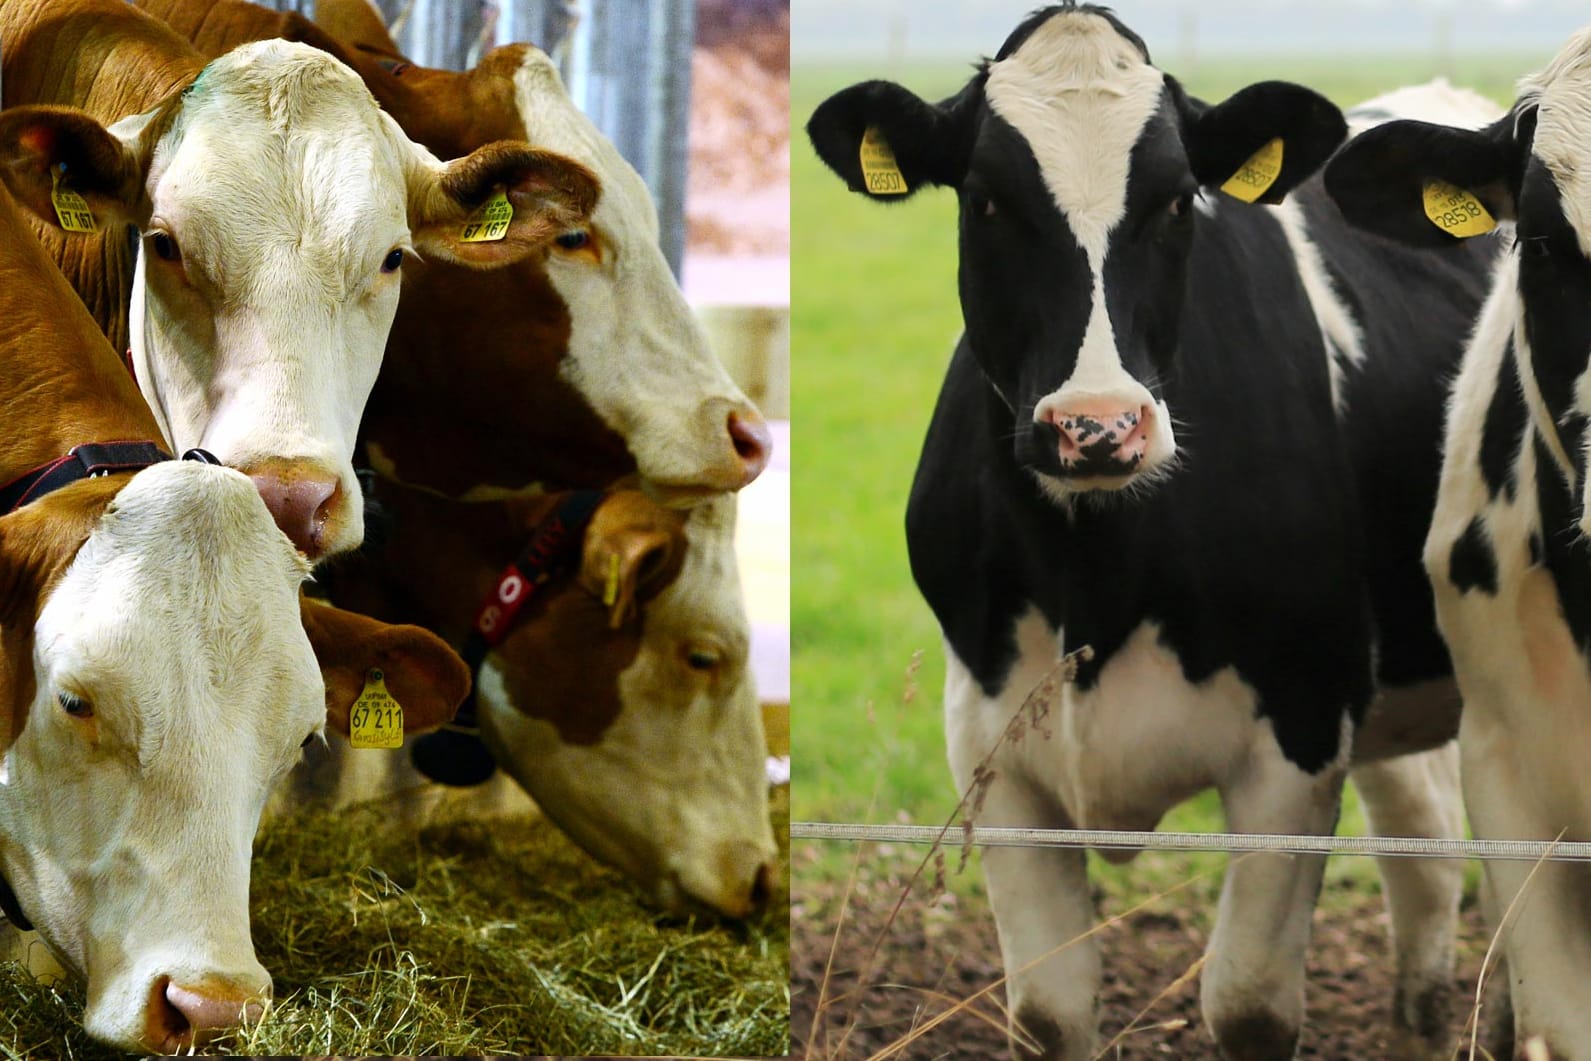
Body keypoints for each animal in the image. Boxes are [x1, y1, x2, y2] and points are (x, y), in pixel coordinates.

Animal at [814, 8, 1495, 1061]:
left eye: (1178, 202)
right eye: (985, 198)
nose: (1096, 426)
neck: (1095, 575)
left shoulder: (1301, 729)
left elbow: (1248, 1003)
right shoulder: (989, 739)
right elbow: (1048, 1011)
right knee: (1425, 849)